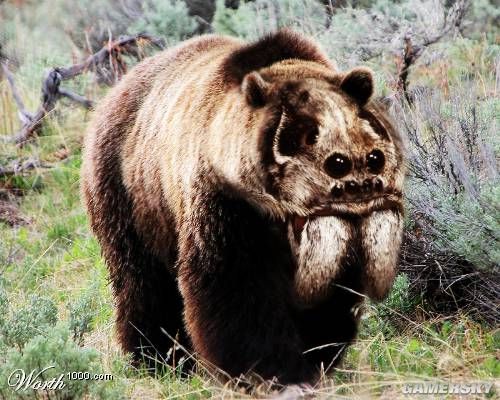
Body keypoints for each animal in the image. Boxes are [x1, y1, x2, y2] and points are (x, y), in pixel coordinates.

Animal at [80, 29, 404, 386]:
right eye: (303, 138)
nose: (348, 187)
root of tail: (112, 94)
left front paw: (315, 353)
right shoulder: (227, 208)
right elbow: (234, 287)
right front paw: (268, 369)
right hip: (131, 198)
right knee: (144, 284)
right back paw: (159, 358)